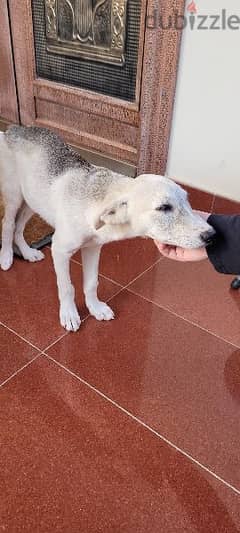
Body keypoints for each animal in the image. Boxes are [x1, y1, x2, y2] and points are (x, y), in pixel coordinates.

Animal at [0, 127, 214, 330]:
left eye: (187, 202)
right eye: (164, 207)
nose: (212, 235)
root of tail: (12, 130)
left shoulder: (93, 248)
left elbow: (91, 283)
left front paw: (95, 307)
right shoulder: (59, 250)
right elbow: (67, 287)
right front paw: (69, 314)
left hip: (31, 200)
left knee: (19, 228)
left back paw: (27, 252)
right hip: (15, 196)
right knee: (8, 224)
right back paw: (7, 256)